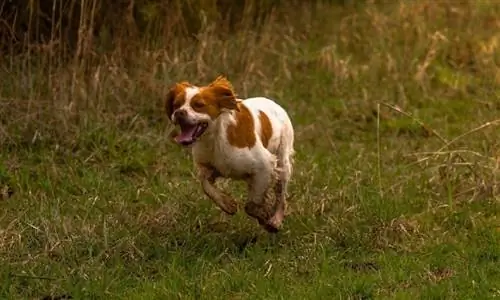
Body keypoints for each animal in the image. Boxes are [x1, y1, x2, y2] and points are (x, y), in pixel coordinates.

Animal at [166, 75, 294, 232]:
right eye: (176, 104)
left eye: (199, 105)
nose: (179, 113)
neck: (215, 138)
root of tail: (276, 104)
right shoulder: (209, 167)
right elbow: (205, 184)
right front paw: (227, 204)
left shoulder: (265, 165)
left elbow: (251, 206)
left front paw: (264, 217)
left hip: (283, 163)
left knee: (281, 197)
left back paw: (276, 220)